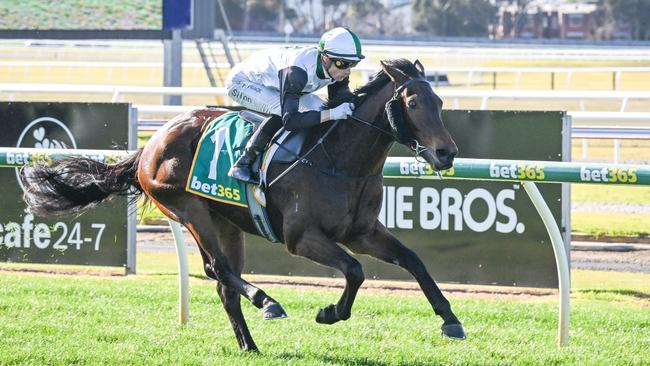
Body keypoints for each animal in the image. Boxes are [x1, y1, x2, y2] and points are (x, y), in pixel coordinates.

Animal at [21, 58, 466, 350]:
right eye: (413, 104)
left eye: (441, 103)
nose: (446, 153)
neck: (341, 161)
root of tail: (152, 143)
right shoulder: (301, 239)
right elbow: (355, 271)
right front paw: (329, 313)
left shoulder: (363, 232)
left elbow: (413, 260)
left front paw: (451, 321)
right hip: (188, 209)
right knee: (218, 270)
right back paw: (268, 302)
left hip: (226, 222)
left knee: (224, 282)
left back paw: (249, 344)